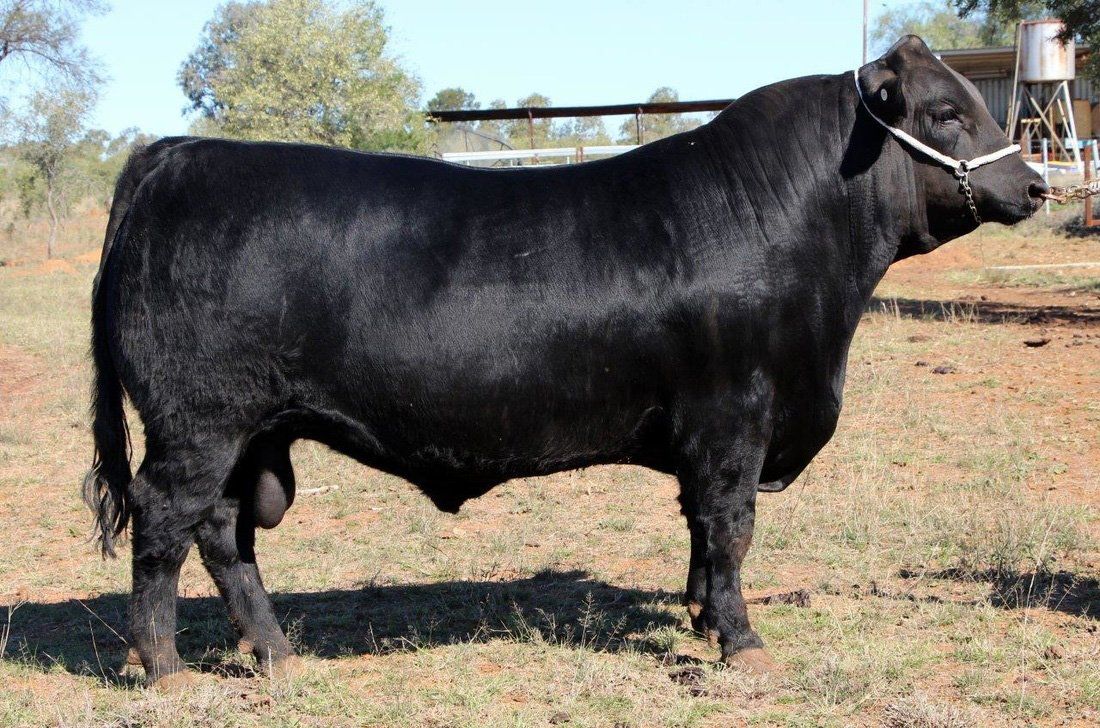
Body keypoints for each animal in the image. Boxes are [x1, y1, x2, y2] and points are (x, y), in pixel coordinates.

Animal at [84, 36, 1047, 688]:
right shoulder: (734, 417)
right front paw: (741, 643)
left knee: (224, 534)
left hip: (247, 433)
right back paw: (164, 667)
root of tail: (176, 154)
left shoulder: (709, 433)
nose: (1035, 185)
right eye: (947, 113)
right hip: (198, 425)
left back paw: (278, 655)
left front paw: (701, 620)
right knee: (165, 523)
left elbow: (700, 533)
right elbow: (730, 529)